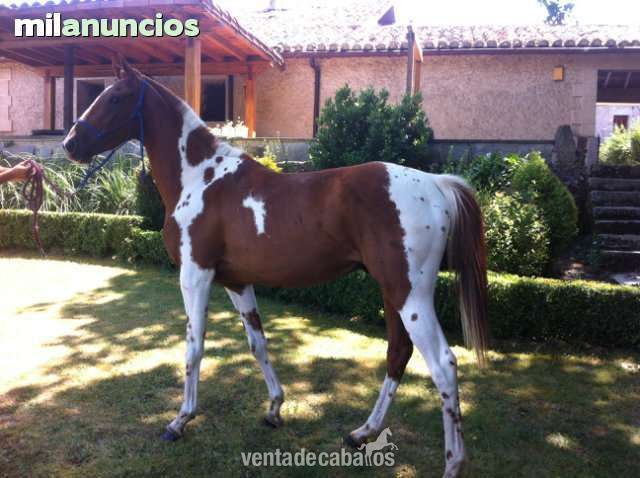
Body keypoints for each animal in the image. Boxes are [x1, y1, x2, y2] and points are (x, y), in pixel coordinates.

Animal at [62, 56, 488, 478]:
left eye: (114, 97)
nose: (70, 144)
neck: (201, 177)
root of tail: (436, 184)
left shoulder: (195, 275)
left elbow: (194, 348)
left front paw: (180, 420)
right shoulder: (236, 282)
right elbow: (258, 343)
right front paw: (274, 408)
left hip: (409, 293)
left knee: (443, 365)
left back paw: (453, 462)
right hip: (392, 290)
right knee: (398, 353)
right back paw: (363, 432)